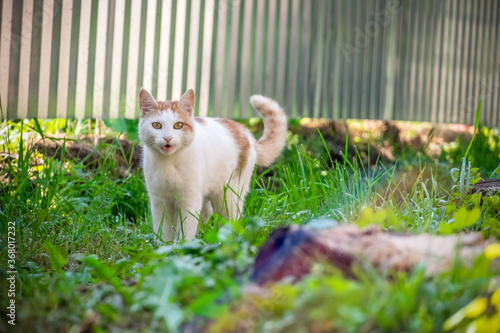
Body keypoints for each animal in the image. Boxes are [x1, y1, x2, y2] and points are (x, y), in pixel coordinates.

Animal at [138, 88, 286, 241]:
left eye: (178, 125)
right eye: (156, 125)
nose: (167, 138)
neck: (169, 163)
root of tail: (245, 131)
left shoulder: (189, 201)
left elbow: (185, 230)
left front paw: (181, 245)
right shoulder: (159, 202)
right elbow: (162, 231)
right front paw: (164, 245)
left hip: (228, 198)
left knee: (232, 219)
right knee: (206, 214)